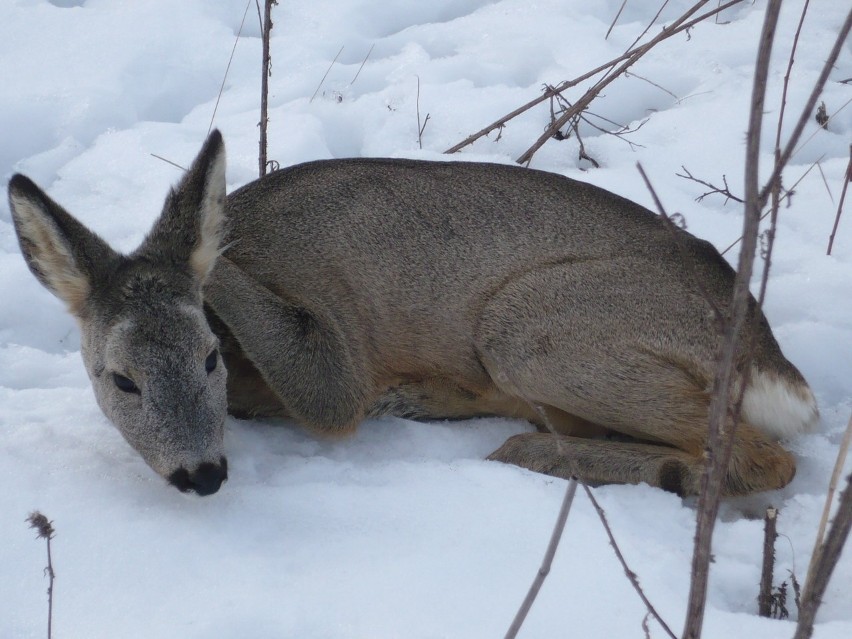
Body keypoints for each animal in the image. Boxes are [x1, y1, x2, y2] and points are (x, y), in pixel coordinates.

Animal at [6, 132, 820, 498]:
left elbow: (328, 392)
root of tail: (771, 356)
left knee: (765, 458)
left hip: (531, 325)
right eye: (120, 380)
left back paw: (539, 454)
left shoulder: (331, 357)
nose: (201, 474)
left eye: (208, 357)